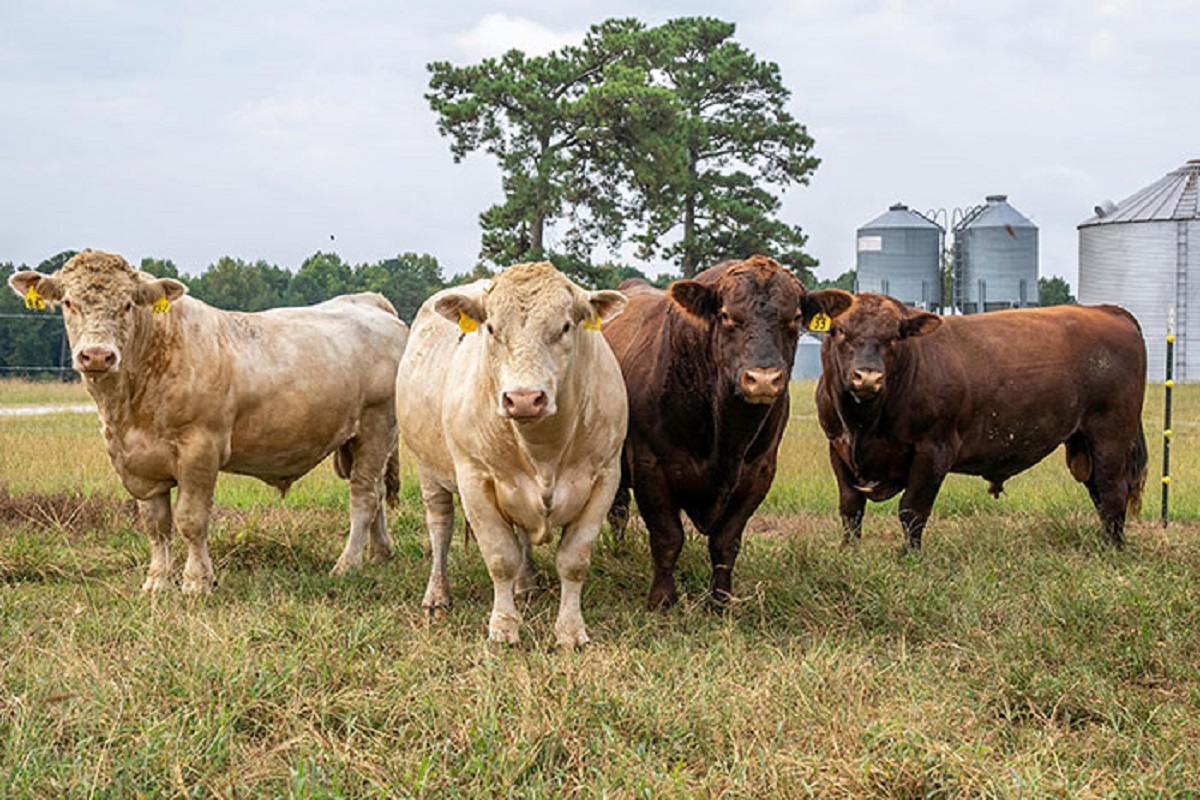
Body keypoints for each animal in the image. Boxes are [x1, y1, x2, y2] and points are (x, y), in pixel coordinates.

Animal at [4, 250, 410, 594]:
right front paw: (156, 582)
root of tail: (370, 302)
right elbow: (156, 525)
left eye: (128, 304)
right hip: (355, 440)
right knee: (375, 492)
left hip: (377, 426)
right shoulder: (138, 465)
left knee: (363, 496)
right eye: (69, 303)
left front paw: (197, 582)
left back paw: (347, 564)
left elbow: (190, 519)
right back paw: (379, 553)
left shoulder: (200, 450)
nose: (97, 355)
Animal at [400, 263, 633, 652]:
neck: (544, 452)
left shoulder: (605, 477)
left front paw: (570, 631)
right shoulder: (474, 479)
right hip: (428, 471)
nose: (524, 399)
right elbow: (499, 557)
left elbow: (574, 561)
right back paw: (437, 594)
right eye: (492, 328)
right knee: (440, 528)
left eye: (565, 326)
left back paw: (526, 584)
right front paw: (503, 627)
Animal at [600, 255, 854, 606]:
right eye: (726, 315)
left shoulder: (758, 471)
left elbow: (725, 542)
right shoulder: (650, 464)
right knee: (619, 510)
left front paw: (720, 601)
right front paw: (662, 600)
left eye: (795, 318)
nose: (763, 379)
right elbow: (667, 537)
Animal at [820, 293, 1147, 551]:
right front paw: (848, 552)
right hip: (1083, 442)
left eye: (895, 335)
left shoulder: (934, 450)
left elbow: (912, 510)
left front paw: (910, 557)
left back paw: (1113, 550)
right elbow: (851, 507)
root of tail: (1107, 310)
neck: (864, 424)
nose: (868, 377)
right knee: (1099, 493)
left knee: (1112, 491)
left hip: (1110, 437)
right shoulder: (837, 448)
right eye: (839, 331)